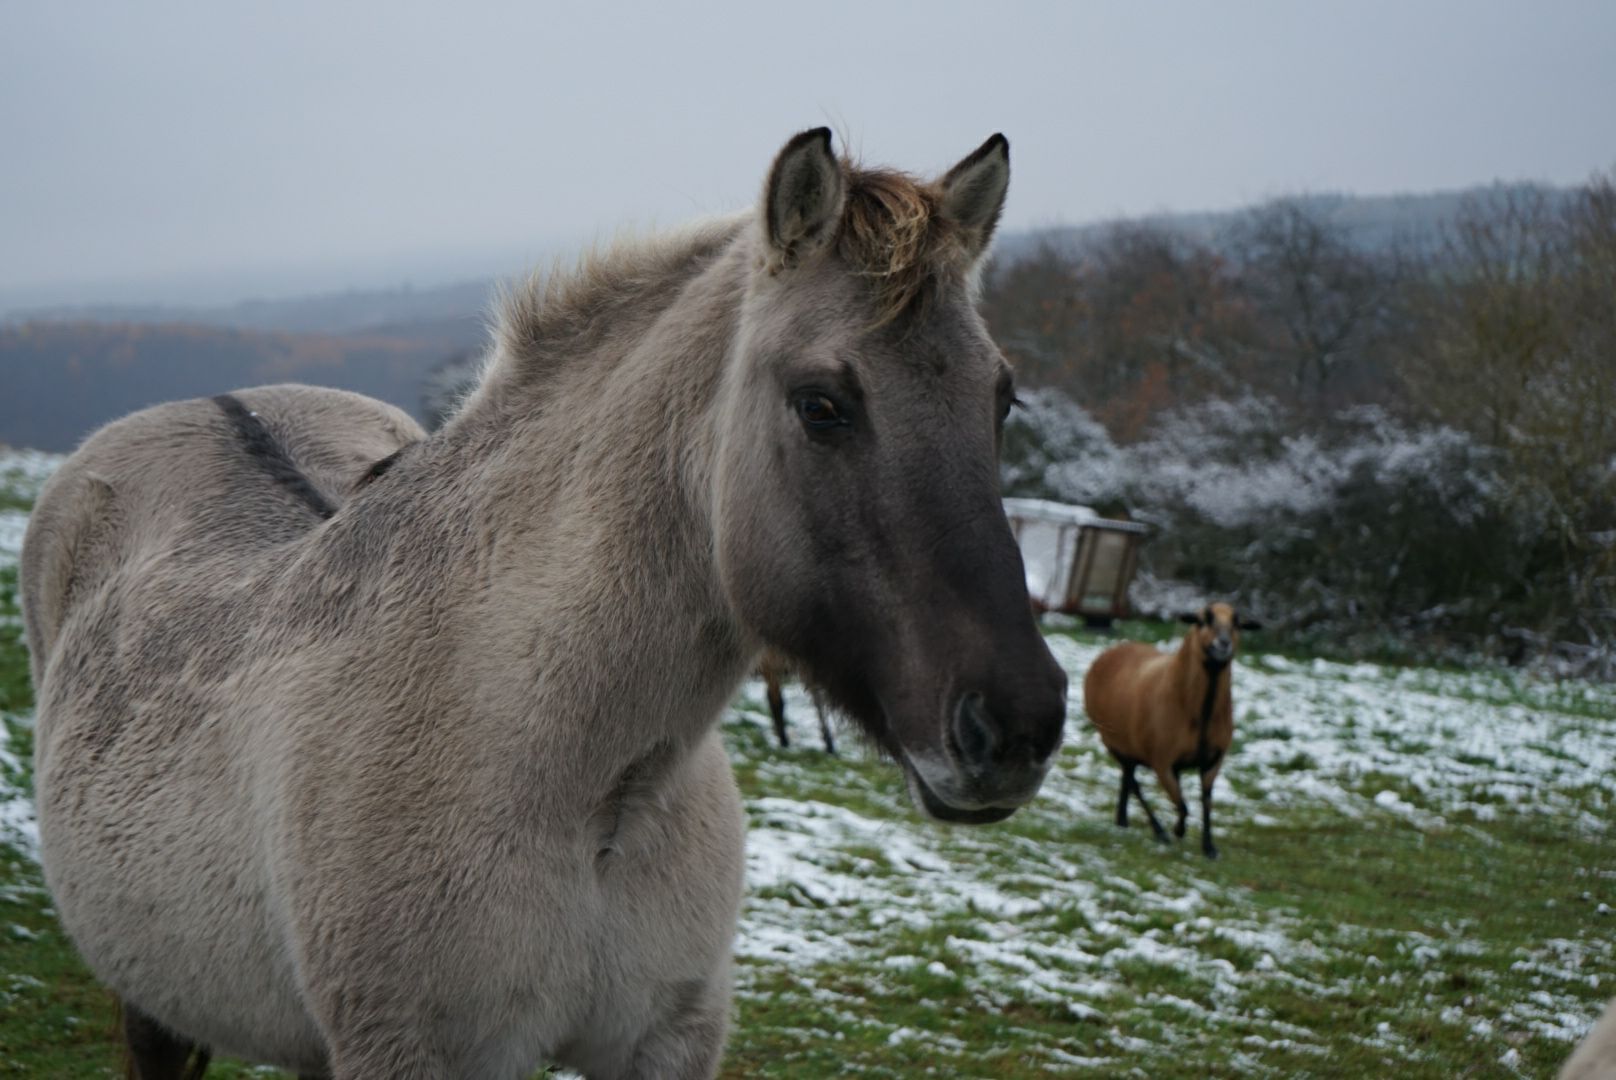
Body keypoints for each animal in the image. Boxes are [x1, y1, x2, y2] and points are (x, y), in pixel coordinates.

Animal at [21, 127, 1068, 1079]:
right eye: (821, 406)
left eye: (1000, 399)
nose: (1015, 724)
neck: (582, 790)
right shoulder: (419, 1054)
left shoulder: (665, 1044)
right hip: (158, 1005)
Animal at [1083, 601, 1260, 858]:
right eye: (1203, 620)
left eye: (1237, 623)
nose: (1223, 643)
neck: (1200, 715)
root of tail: (1112, 650)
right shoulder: (1163, 761)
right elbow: (1182, 804)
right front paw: (1178, 830)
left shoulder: (1212, 761)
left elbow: (1206, 801)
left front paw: (1209, 847)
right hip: (1111, 741)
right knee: (1134, 783)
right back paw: (1159, 831)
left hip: (1128, 746)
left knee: (1127, 779)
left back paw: (1122, 821)